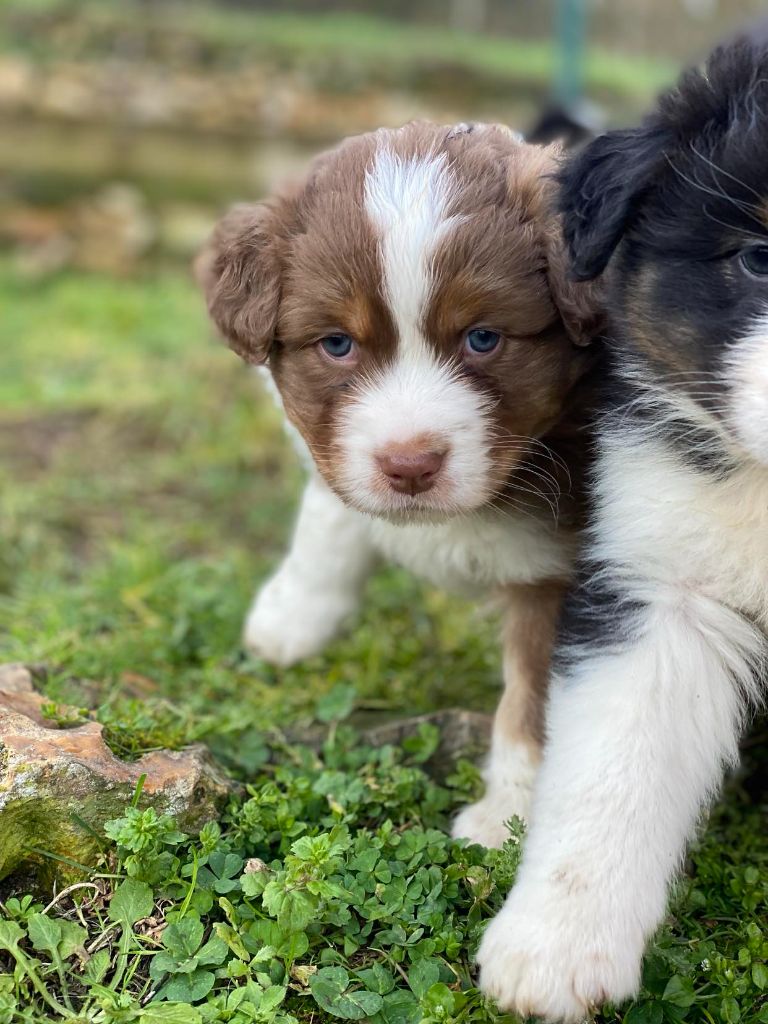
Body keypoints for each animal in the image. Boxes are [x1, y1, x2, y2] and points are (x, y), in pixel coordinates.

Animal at [198, 121, 603, 846]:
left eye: (483, 337)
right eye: (336, 344)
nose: (410, 464)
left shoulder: (571, 574)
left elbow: (535, 700)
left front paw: (507, 815)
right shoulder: (337, 456)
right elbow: (330, 519)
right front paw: (291, 617)